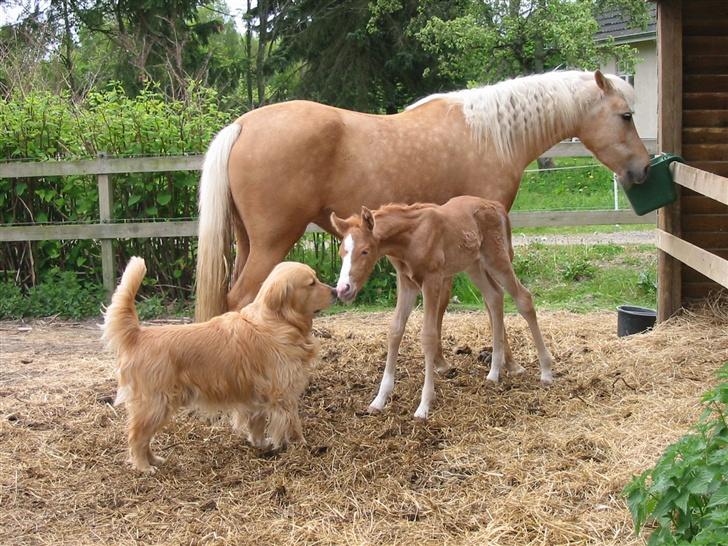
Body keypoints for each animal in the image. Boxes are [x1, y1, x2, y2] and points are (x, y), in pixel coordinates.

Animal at [102, 258, 336, 470]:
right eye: (311, 283)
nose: (335, 291)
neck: (277, 321)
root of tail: (138, 334)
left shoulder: (257, 396)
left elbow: (257, 424)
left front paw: (260, 443)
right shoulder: (284, 394)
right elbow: (293, 424)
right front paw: (302, 445)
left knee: (144, 438)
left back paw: (154, 460)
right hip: (155, 405)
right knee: (136, 437)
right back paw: (144, 466)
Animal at [195, 70, 648, 320]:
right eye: (626, 116)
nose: (644, 169)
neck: (490, 135)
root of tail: (242, 125)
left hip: (247, 243)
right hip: (272, 242)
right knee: (241, 299)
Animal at [332, 194, 556, 416]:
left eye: (365, 251)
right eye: (341, 253)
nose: (343, 289)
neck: (410, 237)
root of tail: (494, 205)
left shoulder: (432, 279)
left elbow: (428, 336)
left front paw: (424, 405)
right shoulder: (406, 282)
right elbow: (395, 330)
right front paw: (379, 400)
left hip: (497, 259)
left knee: (523, 299)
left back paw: (546, 371)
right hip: (473, 265)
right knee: (494, 296)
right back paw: (494, 373)